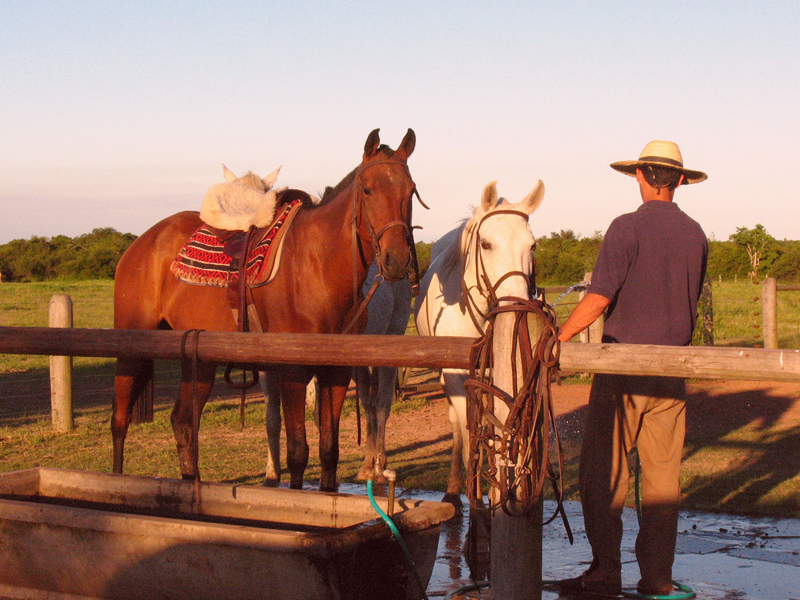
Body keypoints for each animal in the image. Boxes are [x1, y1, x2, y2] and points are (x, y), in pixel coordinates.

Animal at [262, 260, 412, 486]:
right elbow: (273, 419)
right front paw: (271, 475)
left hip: (392, 341)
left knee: (382, 405)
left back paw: (379, 465)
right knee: (369, 405)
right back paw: (367, 464)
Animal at [412, 179, 544, 506]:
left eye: (532, 245)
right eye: (486, 244)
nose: (516, 304)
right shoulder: (456, 376)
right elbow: (469, 434)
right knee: (459, 427)